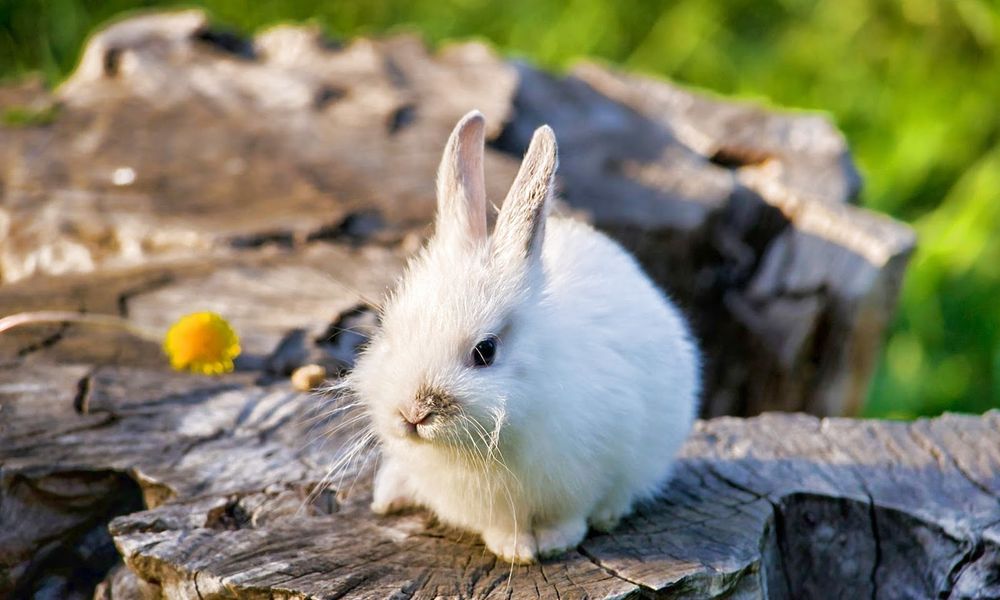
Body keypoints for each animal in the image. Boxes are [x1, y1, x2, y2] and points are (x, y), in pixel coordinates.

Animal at [348, 110, 700, 564]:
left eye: (485, 351)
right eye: (389, 330)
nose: (412, 413)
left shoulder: (585, 477)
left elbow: (570, 516)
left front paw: (553, 544)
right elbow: (500, 526)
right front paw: (513, 549)